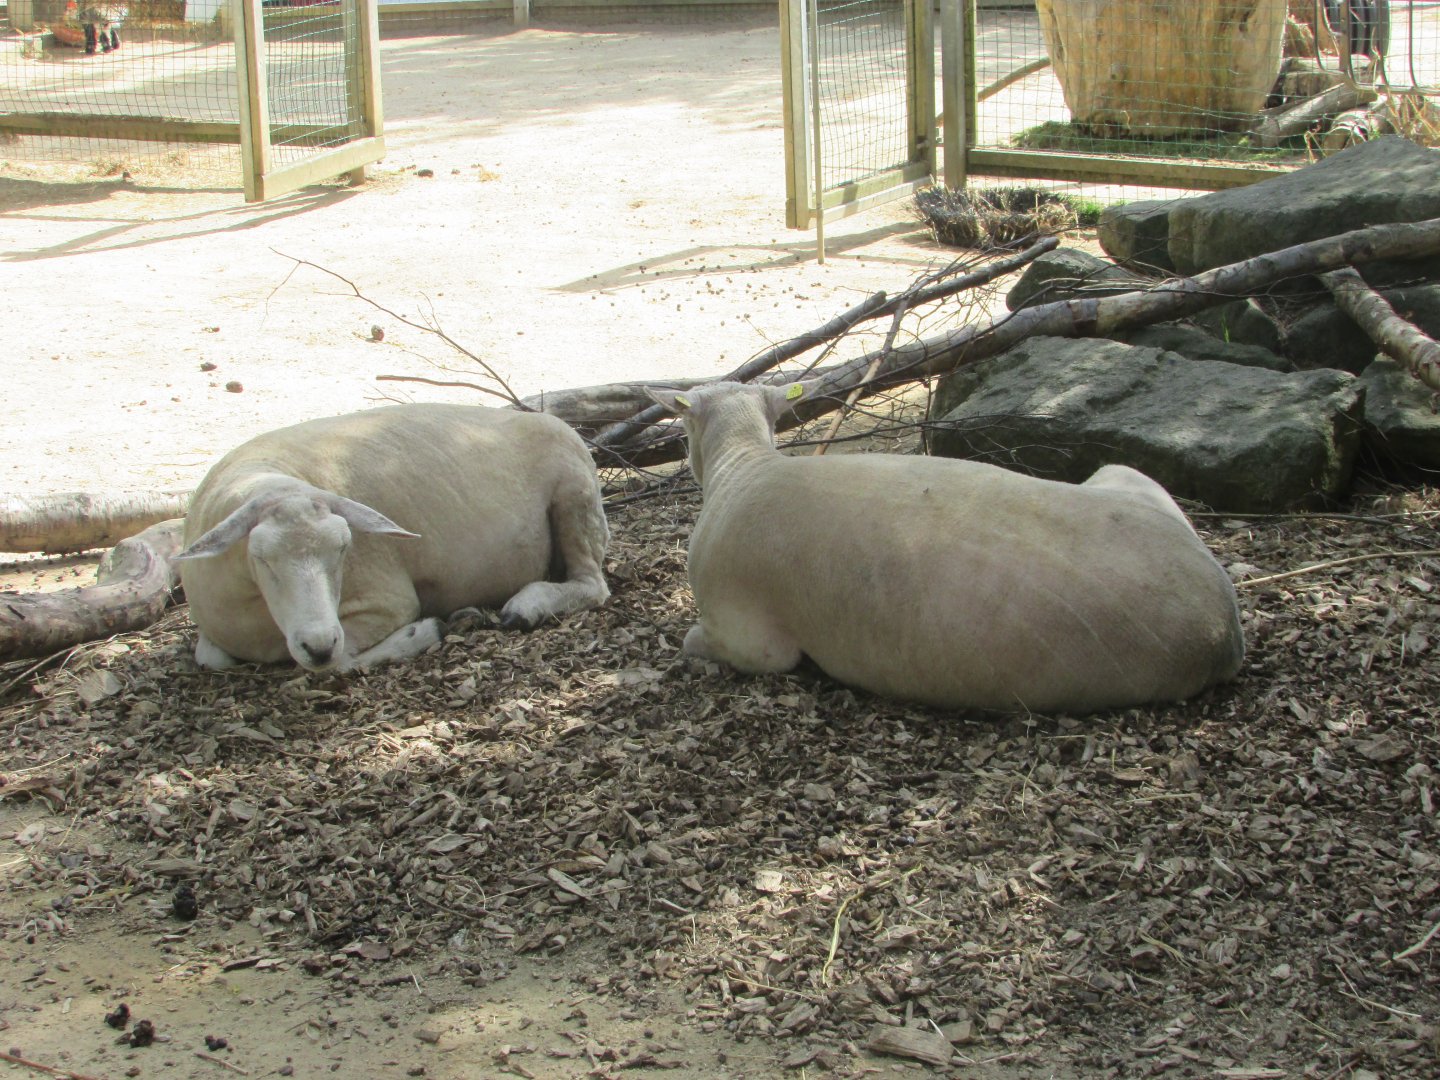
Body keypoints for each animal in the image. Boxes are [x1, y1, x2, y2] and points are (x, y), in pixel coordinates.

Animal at [176, 403, 609, 672]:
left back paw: (526, 606)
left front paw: (427, 630)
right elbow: (209, 658)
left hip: (574, 495)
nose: (317, 645)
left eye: (344, 549)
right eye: (261, 558)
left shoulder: (386, 602)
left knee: (591, 584)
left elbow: (340, 661)